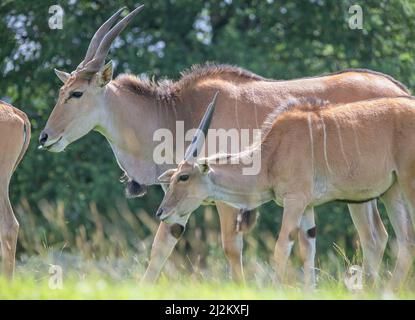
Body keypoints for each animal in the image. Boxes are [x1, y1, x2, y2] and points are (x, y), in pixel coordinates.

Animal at [156, 94, 415, 288]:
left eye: (183, 177)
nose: (161, 212)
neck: (272, 154)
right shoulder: (307, 206)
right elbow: (307, 250)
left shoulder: (295, 200)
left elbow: (282, 246)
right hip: (391, 191)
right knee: (404, 240)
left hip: (406, 183)